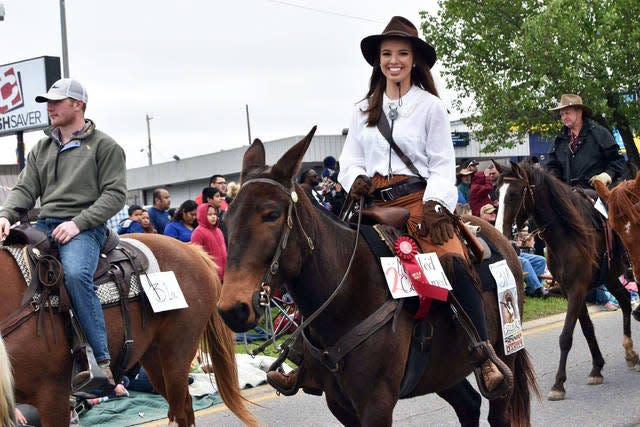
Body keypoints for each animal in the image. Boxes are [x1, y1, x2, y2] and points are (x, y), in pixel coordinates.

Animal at [0, 236, 255, 426]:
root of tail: (192, 250)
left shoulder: (53, 398)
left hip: (177, 354)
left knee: (179, 411)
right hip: (153, 358)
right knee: (183, 406)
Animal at [218, 128, 536, 427]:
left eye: (271, 214)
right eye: (227, 219)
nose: (233, 308)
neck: (348, 293)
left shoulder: (376, 404)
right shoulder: (339, 404)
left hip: (505, 354)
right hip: (441, 370)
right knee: (468, 405)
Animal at [492, 162, 632, 402]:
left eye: (514, 193)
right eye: (496, 194)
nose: (500, 232)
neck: (567, 234)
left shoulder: (577, 289)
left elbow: (566, 336)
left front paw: (558, 384)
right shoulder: (571, 290)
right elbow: (587, 329)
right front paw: (596, 368)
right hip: (611, 278)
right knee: (624, 301)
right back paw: (631, 353)